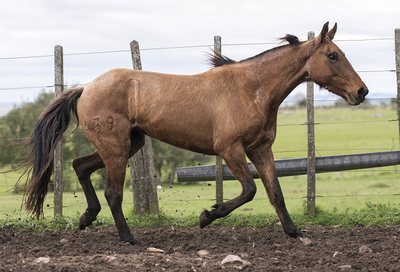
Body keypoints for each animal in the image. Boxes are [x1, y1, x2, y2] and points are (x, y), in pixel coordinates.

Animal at [14, 21, 368, 244]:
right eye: (333, 55)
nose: (362, 92)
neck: (252, 89)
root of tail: (86, 88)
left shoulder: (260, 148)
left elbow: (274, 192)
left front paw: (296, 232)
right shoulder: (230, 149)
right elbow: (250, 190)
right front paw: (207, 215)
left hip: (128, 144)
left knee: (80, 166)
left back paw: (86, 218)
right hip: (116, 148)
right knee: (113, 192)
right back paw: (129, 239)